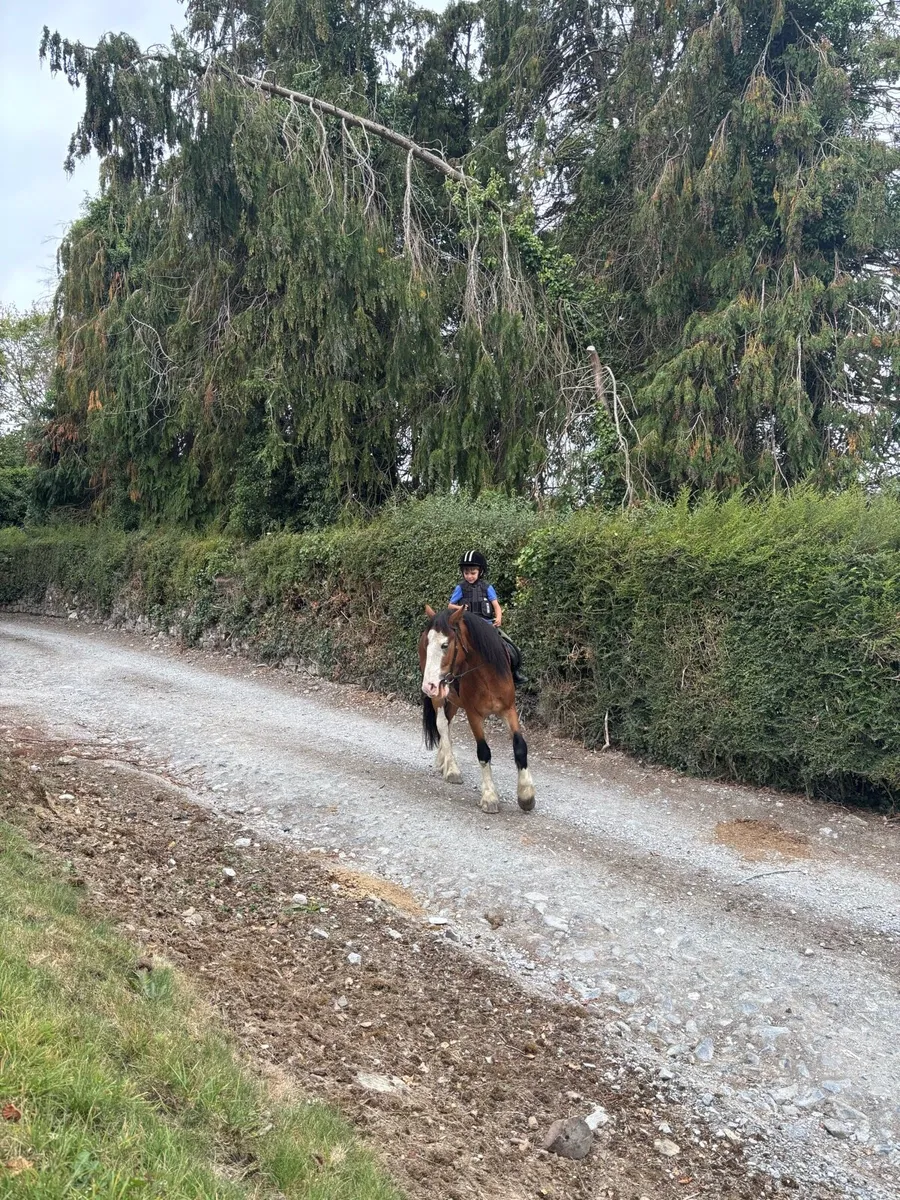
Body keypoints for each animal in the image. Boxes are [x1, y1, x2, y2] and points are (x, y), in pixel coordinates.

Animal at [419, 604, 536, 814]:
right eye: (427, 643)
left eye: (445, 645)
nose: (428, 686)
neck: (486, 675)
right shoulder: (474, 715)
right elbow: (483, 752)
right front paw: (489, 797)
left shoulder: (508, 710)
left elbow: (520, 746)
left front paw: (526, 795)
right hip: (439, 697)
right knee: (442, 725)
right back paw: (452, 769)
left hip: (451, 698)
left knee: (447, 724)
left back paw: (442, 760)